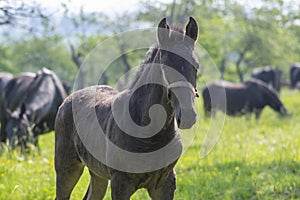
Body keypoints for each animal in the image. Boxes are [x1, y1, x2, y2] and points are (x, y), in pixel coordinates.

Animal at [54, 17, 199, 200]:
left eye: (196, 65)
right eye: (165, 66)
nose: (187, 115)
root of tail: (67, 100)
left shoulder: (165, 184)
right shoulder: (121, 184)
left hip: (98, 174)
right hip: (67, 168)